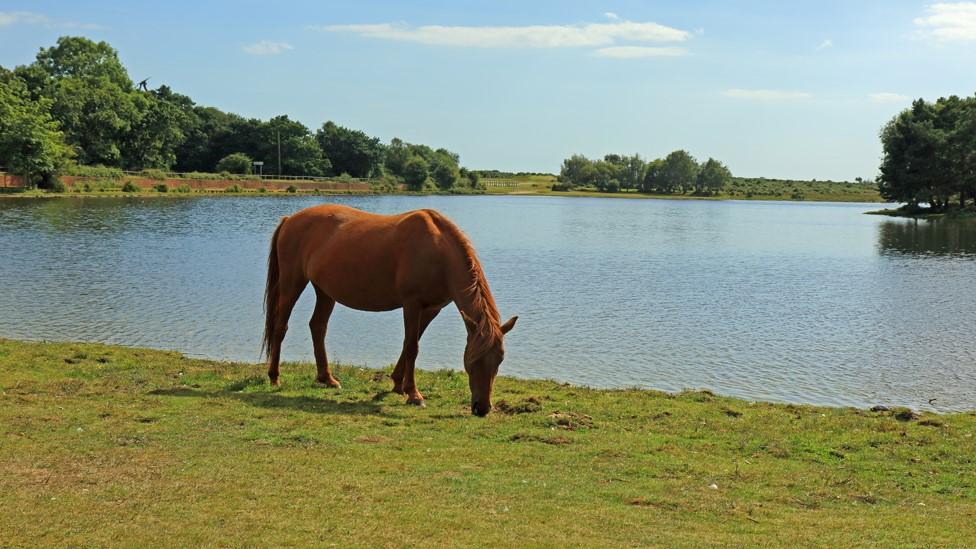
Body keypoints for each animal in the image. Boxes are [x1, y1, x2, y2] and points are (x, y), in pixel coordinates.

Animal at [260, 204, 520, 416]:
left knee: (318, 327)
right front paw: (414, 394)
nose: (482, 408)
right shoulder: (412, 304)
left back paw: (327, 378)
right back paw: (274, 377)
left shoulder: (431, 309)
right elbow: (412, 347)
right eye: (472, 361)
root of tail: (290, 219)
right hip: (292, 283)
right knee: (281, 327)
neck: (438, 250)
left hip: (325, 291)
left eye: (499, 360)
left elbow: (411, 344)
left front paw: (397, 384)